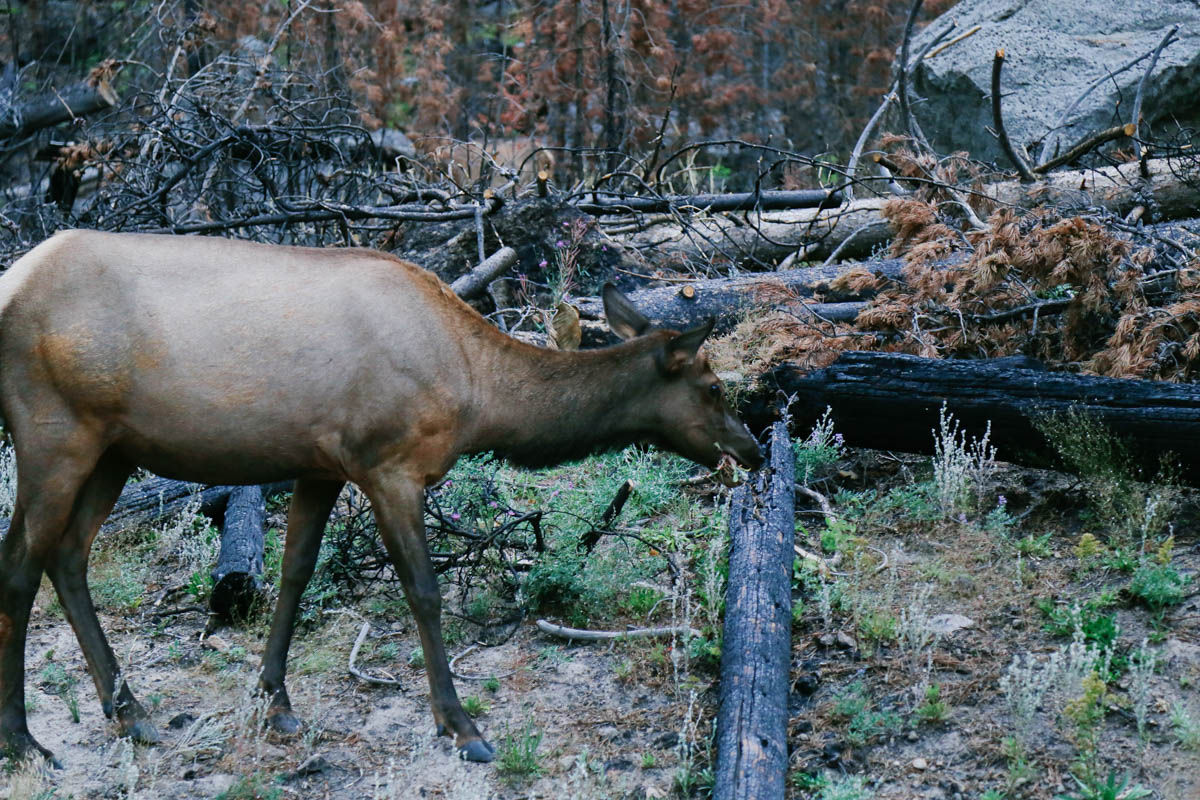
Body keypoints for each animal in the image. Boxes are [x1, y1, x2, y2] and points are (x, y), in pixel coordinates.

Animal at [0, 227, 758, 767]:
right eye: (714, 388)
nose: (752, 449)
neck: (478, 395)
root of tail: (12, 280)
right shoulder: (390, 465)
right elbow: (423, 590)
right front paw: (460, 726)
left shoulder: (322, 464)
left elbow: (295, 573)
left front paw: (276, 701)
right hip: (53, 432)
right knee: (21, 564)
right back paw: (25, 739)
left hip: (113, 448)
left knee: (68, 556)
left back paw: (130, 713)